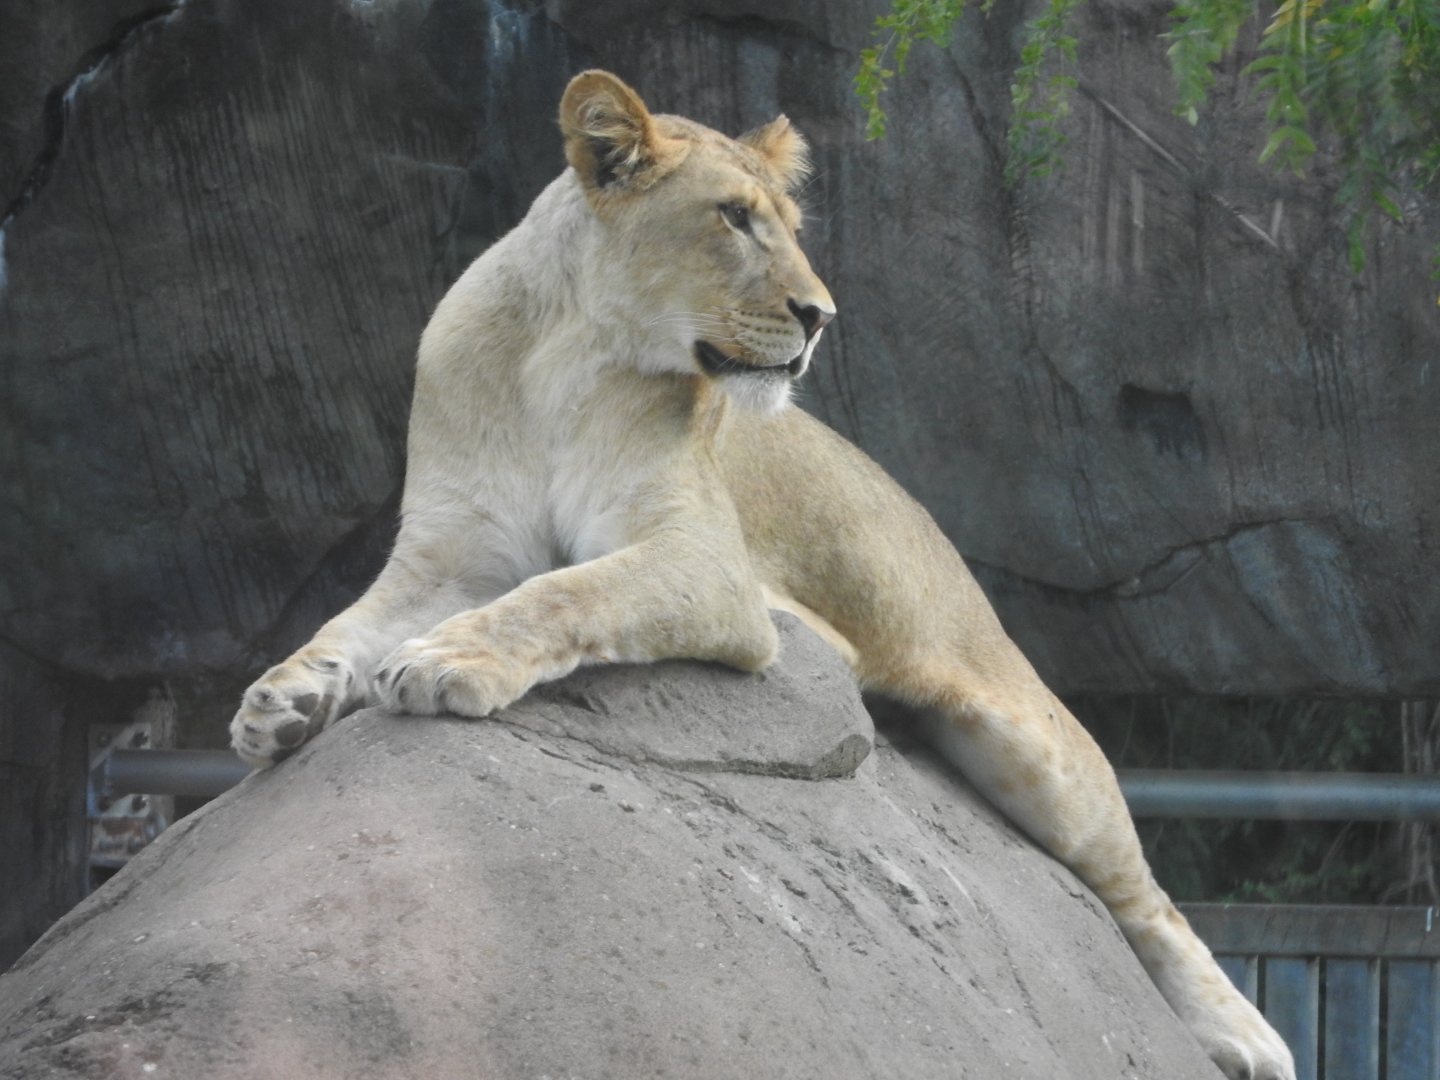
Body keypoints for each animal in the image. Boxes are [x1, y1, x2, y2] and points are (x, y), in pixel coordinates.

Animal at [230, 70, 1295, 1080]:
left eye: (789, 224)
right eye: (734, 217)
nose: (820, 316)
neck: (565, 351)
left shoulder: (708, 564)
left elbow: (567, 590)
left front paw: (448, 663)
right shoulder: (451, 552)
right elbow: (345, 625)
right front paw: (282, 703)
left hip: (1034, 744)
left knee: (1145, 896)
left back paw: (1248, 1038)